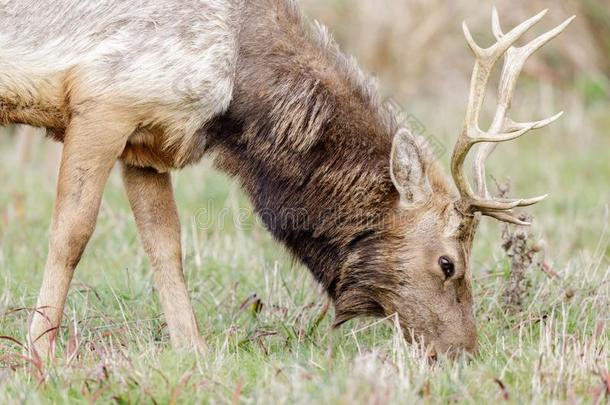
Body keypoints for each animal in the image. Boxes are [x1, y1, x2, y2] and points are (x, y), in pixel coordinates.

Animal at [0, 0, 568, 356]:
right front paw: (38, 355)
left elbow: (166, 248)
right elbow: (71, 233)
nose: (464, 352)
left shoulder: (149, 143)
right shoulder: (104, 100)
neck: (238, 95)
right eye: (449, 263)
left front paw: (194, 352)